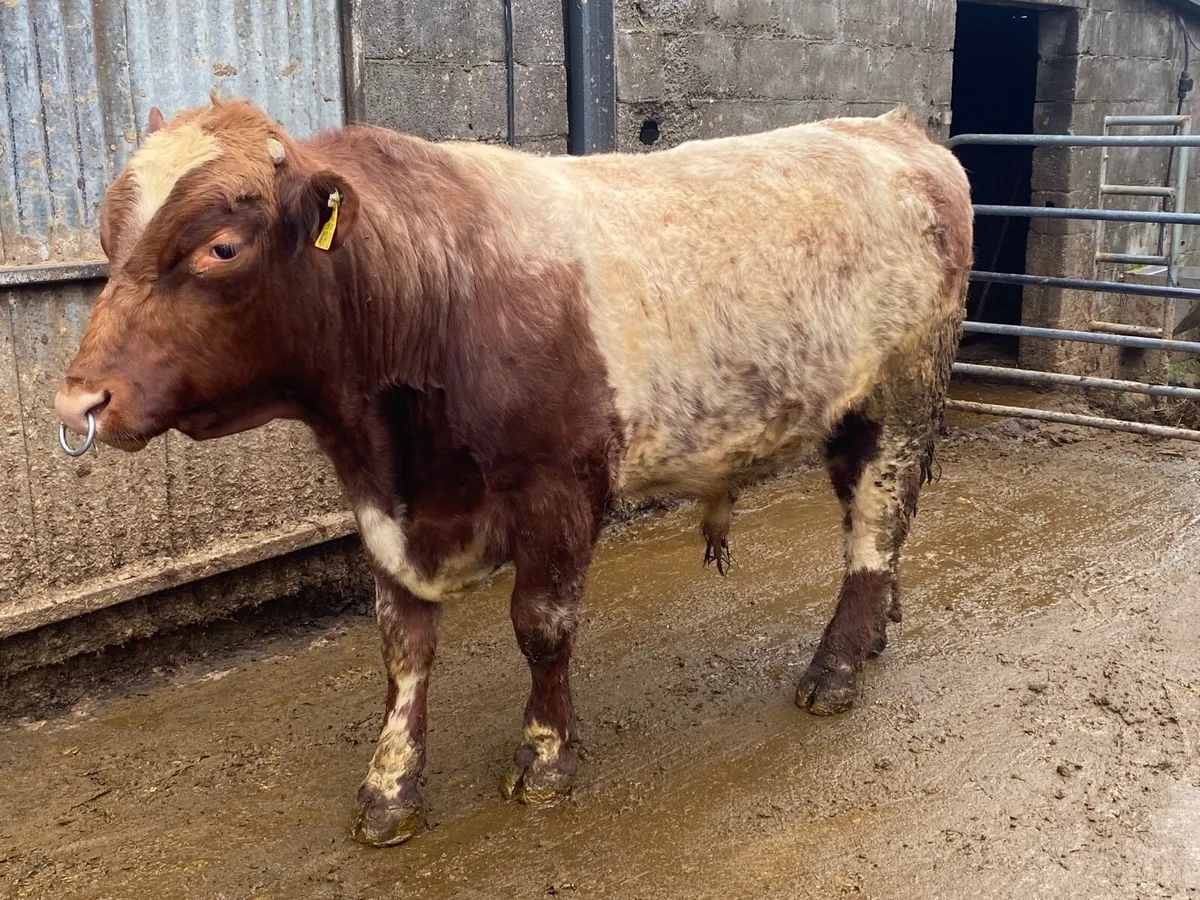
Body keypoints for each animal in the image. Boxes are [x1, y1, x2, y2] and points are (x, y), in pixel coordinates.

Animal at [54, 96, 973, 847]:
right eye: (106, 236)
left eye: (221, 247)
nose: (78, 401)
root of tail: (893, 128)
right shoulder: (381, 506)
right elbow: (402, 646)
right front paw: (390, 789)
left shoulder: (560, 487)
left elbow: (542, 626)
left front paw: (545, 758)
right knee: (869, 527)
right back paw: (877, 631)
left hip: (903, 392)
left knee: (876, 523)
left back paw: (836, 668)